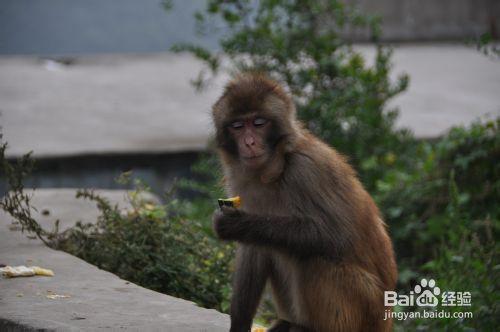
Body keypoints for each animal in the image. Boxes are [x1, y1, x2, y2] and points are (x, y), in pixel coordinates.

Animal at [212, 73, 398, 332]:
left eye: (258, 123)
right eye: (238, 126)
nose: (249, 142)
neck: (275, 169)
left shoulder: (307, 170)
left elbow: (335, 235)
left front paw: (237, 224)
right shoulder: (240, 183)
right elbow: (254, 250)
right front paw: (239, 323)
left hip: (364, 305)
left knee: (312, 256)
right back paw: (288, 323)